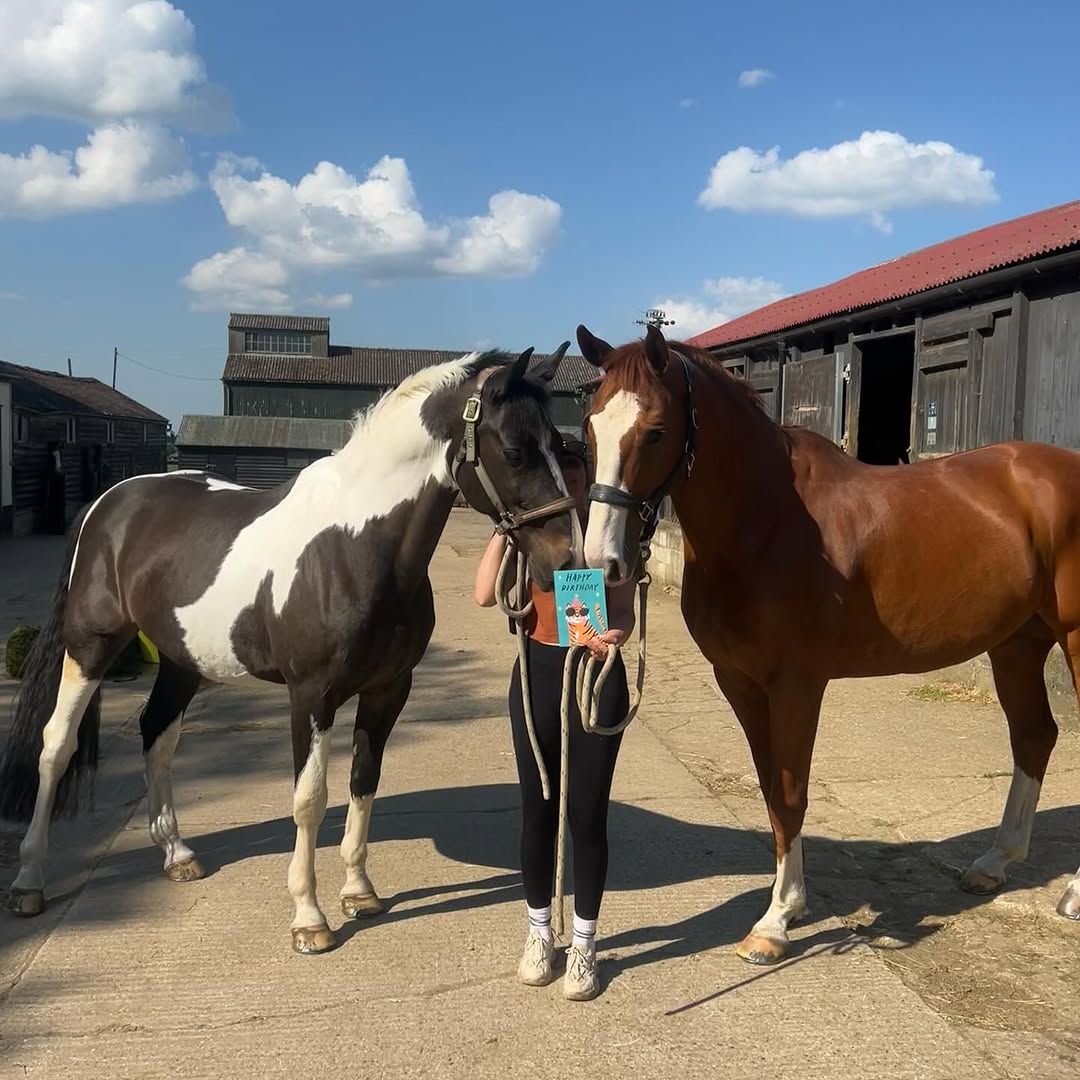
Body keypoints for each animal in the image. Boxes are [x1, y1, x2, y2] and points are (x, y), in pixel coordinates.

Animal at [0, 344, 580, 954]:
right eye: (514, 451)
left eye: (560, 444)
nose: (566, 557)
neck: (354, 545)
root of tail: (106, 506)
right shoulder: (311, 694)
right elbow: (309, 798)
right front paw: (309, 918)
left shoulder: (388, 690)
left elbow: (364, 782)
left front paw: (360, 893)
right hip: (91, 645)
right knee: (55, 746)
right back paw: (29, 881)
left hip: (183, 659)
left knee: (157, 734)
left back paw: (177, 854)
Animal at [575, 320, 1080, 967]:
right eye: (590, 426)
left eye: (657, 431)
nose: (602, 562)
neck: (765, 521)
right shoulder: (739, 683)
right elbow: (771, 791)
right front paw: (787, 905)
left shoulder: (797, 684)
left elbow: (791, 792)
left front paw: (774, 923)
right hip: (1017, 644)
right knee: (1034, 736)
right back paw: (994, 862)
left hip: (1074, 638)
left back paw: (1070, 891)